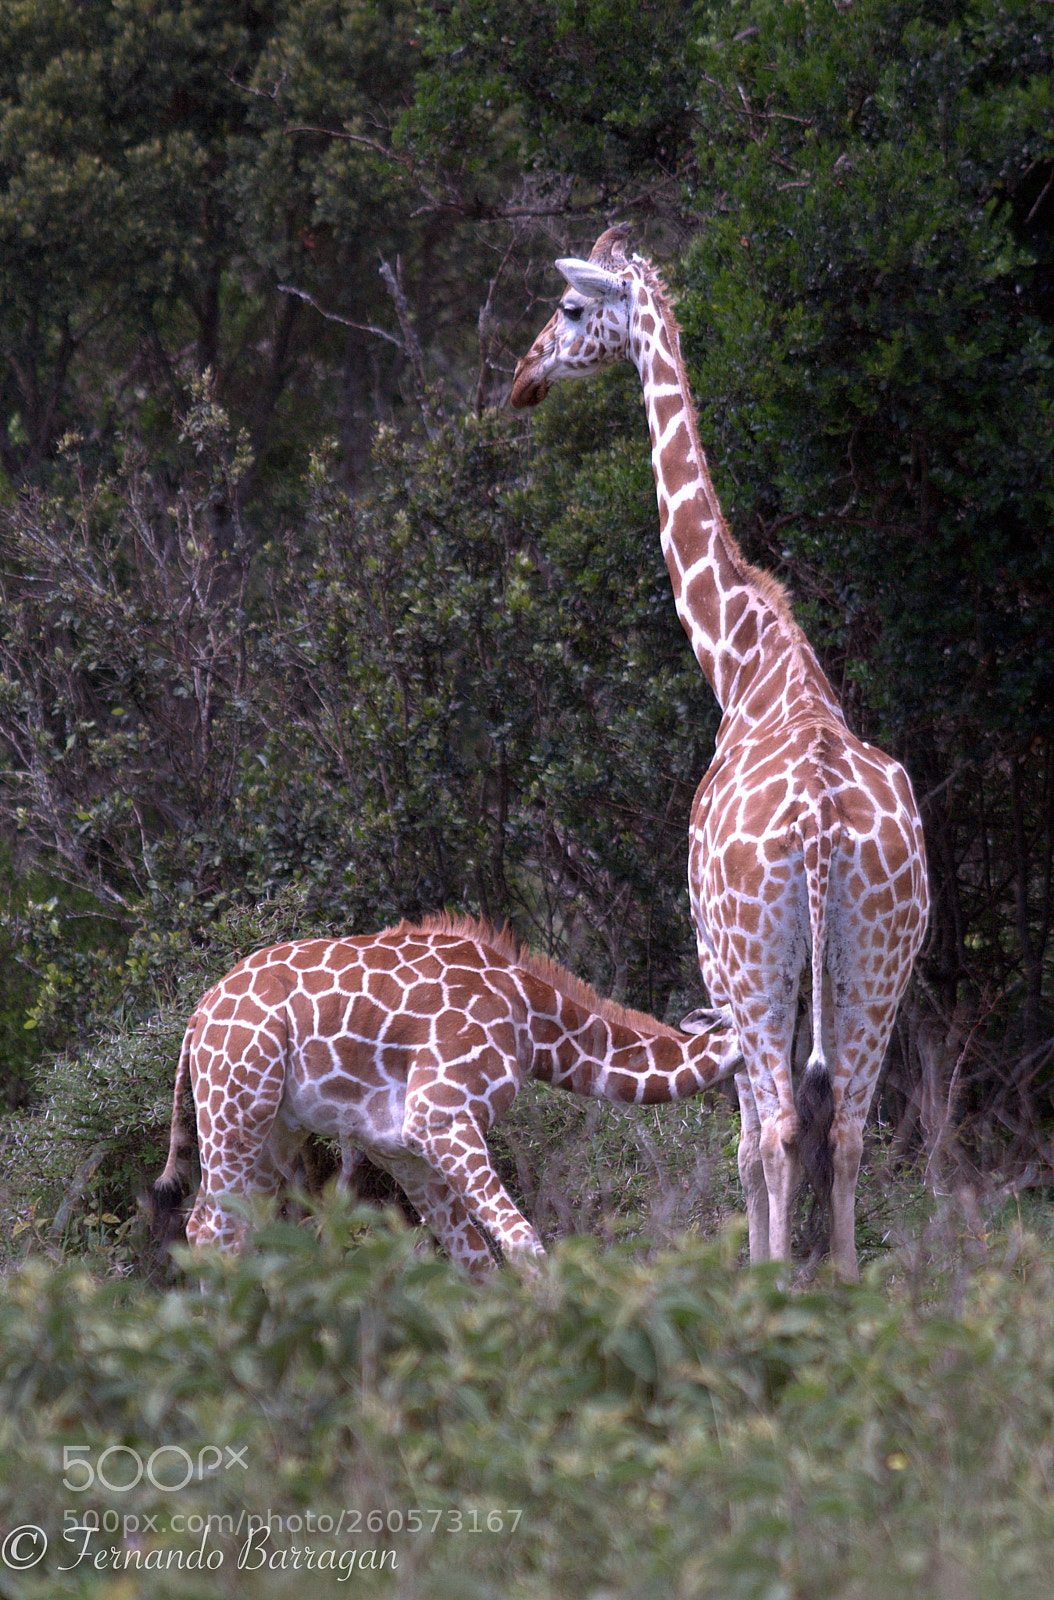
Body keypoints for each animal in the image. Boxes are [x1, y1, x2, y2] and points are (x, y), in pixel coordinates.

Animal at [150, 913, 743, 1275]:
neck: (532, 1024)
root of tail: (197, 1017)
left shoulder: (401, 1150)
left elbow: (473, 1258)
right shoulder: (442, 1117)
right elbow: (521, 1242)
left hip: (276, 1129)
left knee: (233, 1228)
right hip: (236, 1107)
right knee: (207, 1227)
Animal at [510, 225, 929, 1278]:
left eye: (570, 309)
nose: (523, 378)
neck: (745, 662)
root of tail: (820, 828)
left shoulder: (711, 965)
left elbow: (741, 1145)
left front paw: (758, 1268)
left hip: (755, 965)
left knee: (777, 1129)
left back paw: (782, 1283)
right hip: (879, 964)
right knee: (849, 1128)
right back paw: (849, 1285)